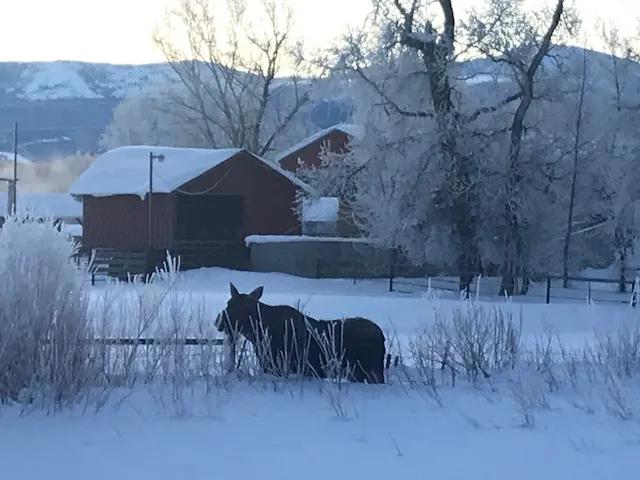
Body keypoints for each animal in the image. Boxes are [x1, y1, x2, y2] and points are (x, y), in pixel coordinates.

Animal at [215, 282, 386, 384]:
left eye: (235, 307)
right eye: (228, 303)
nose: (218, 321)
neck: (256, 333)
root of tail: (381, 336)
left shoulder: (275, 366)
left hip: (364, 370)